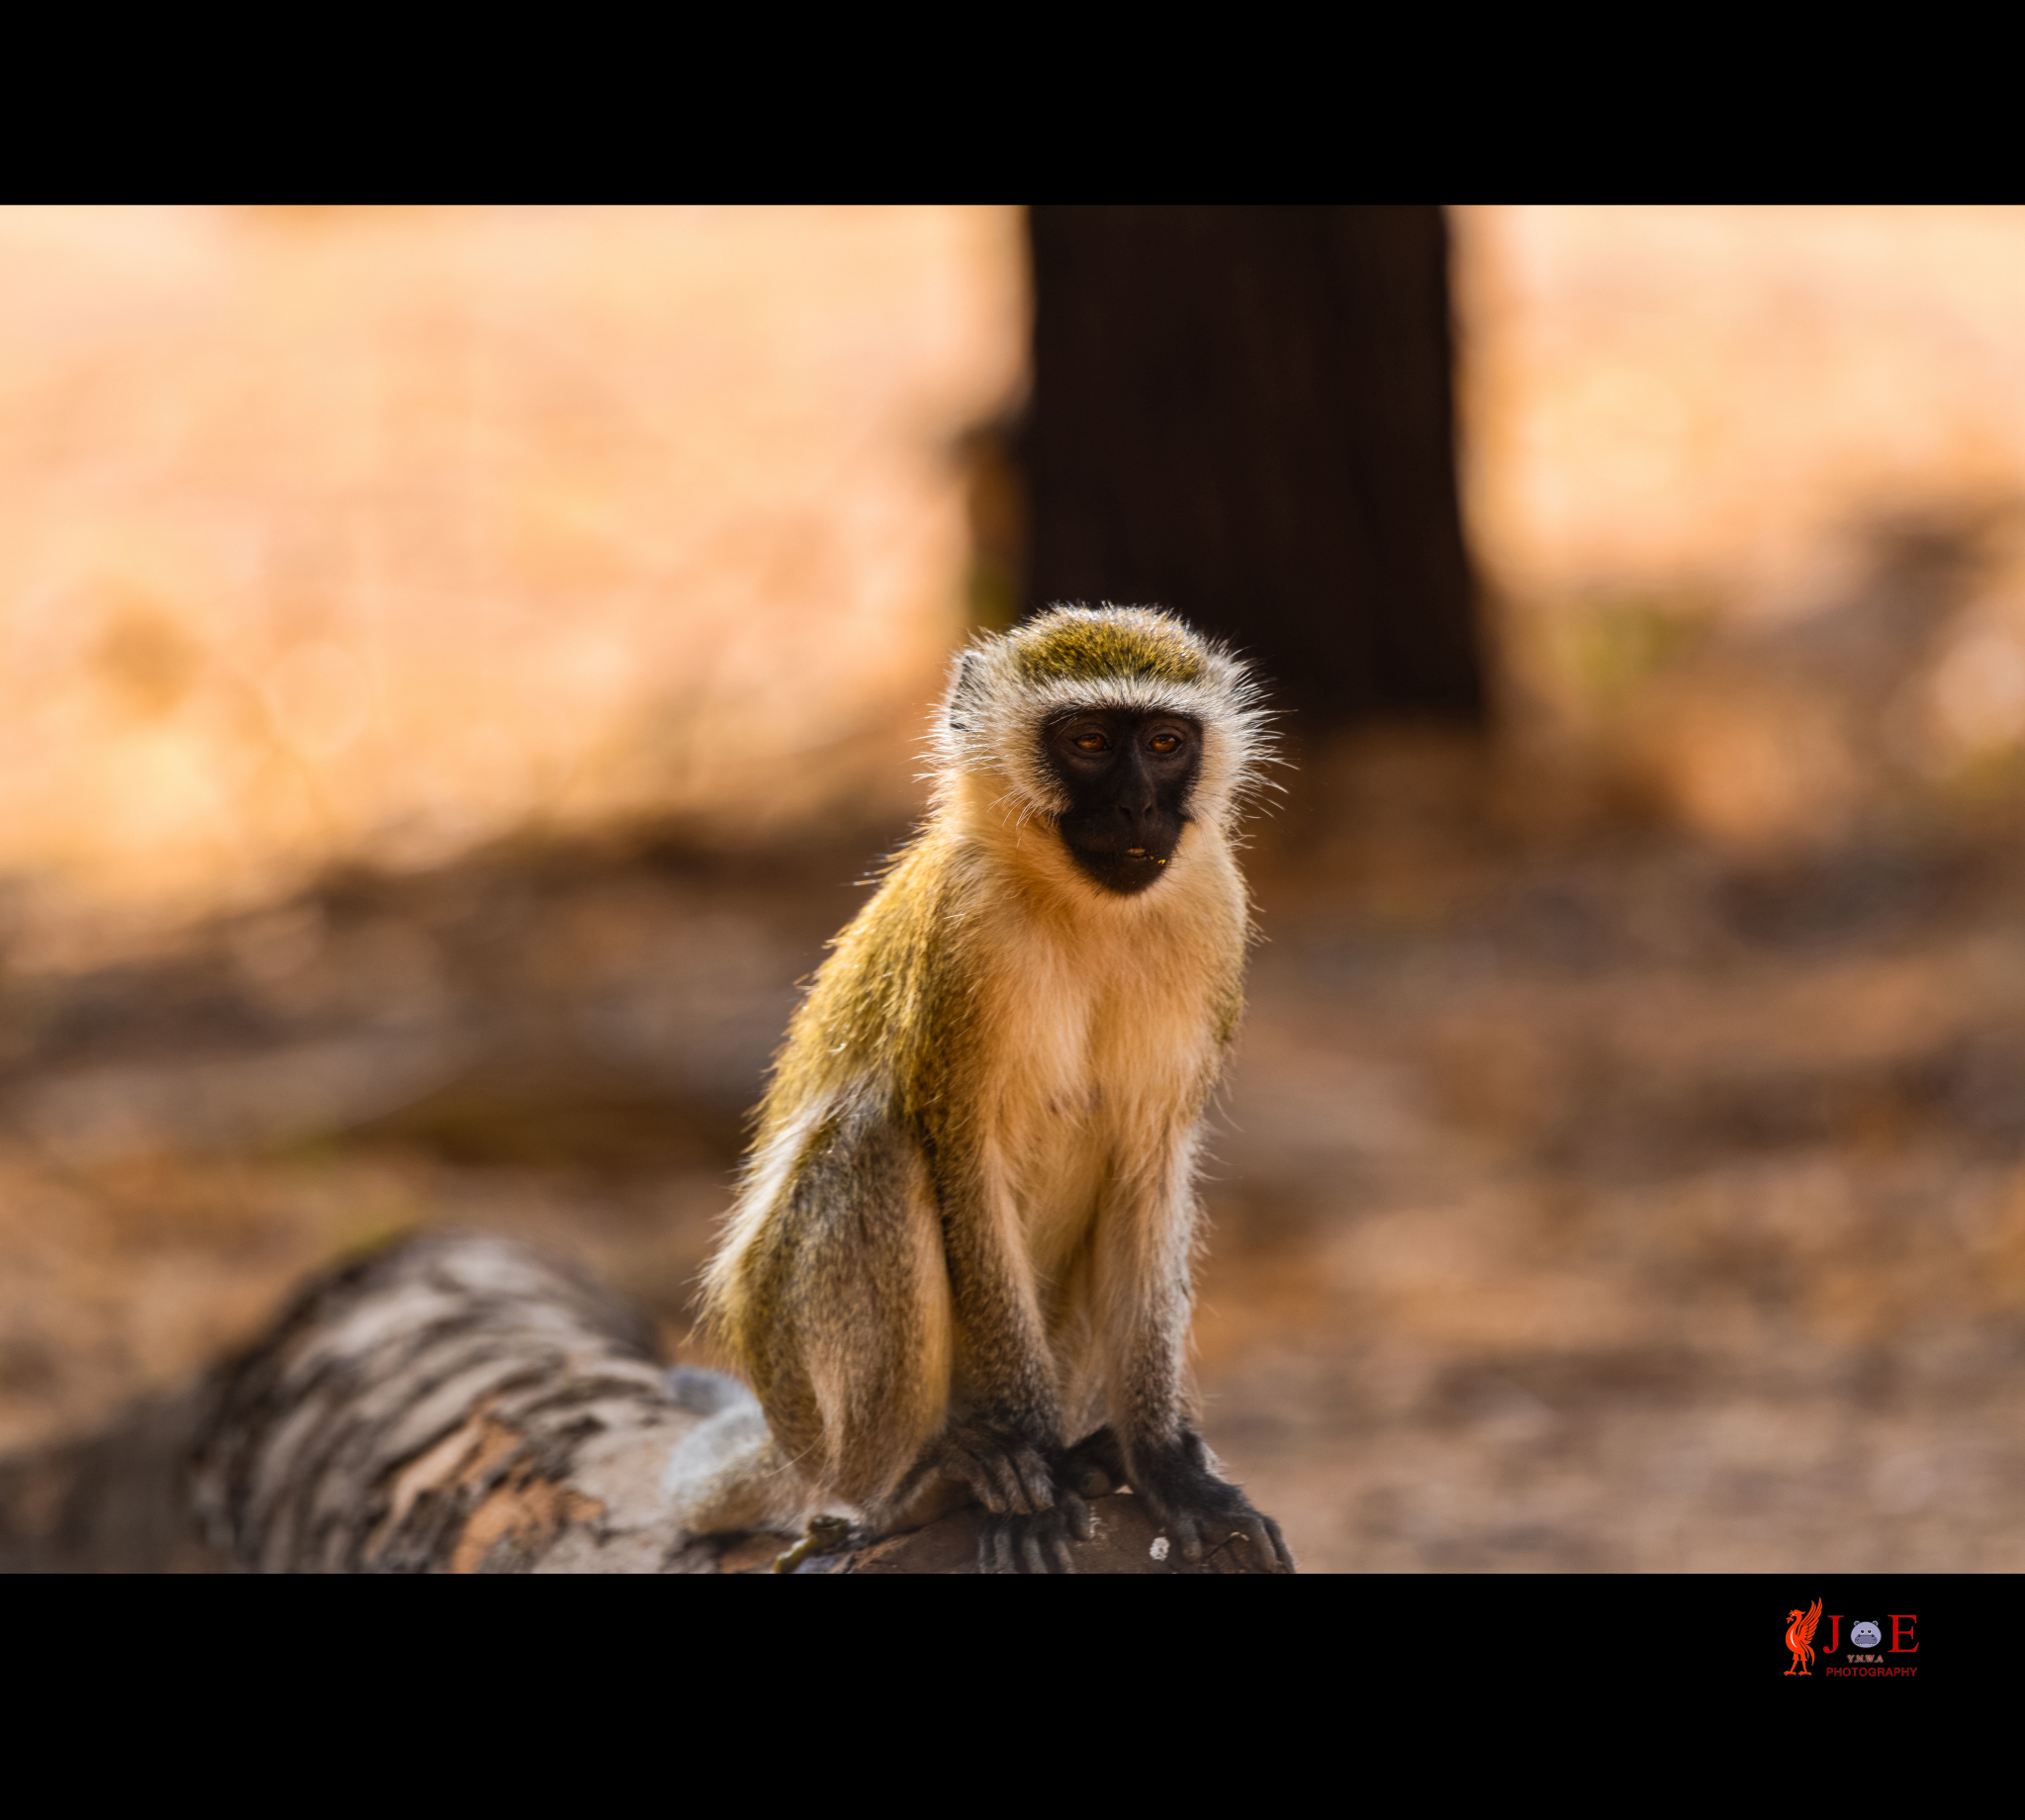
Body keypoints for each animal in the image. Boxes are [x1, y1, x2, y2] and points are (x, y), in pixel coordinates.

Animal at [688, 602, 1296, 1571]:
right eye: (1088, 741)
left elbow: (1147, 1169)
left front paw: (1167, 1465)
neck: (1085, 911)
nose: (1137, 805)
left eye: (1165, 743)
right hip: (805, 1397)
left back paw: (1090, 1452)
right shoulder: (963, 939)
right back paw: (917, 1484)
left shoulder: (1213, 911)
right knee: (876, 1142)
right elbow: (961, 1161)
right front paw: (1030, 1462)